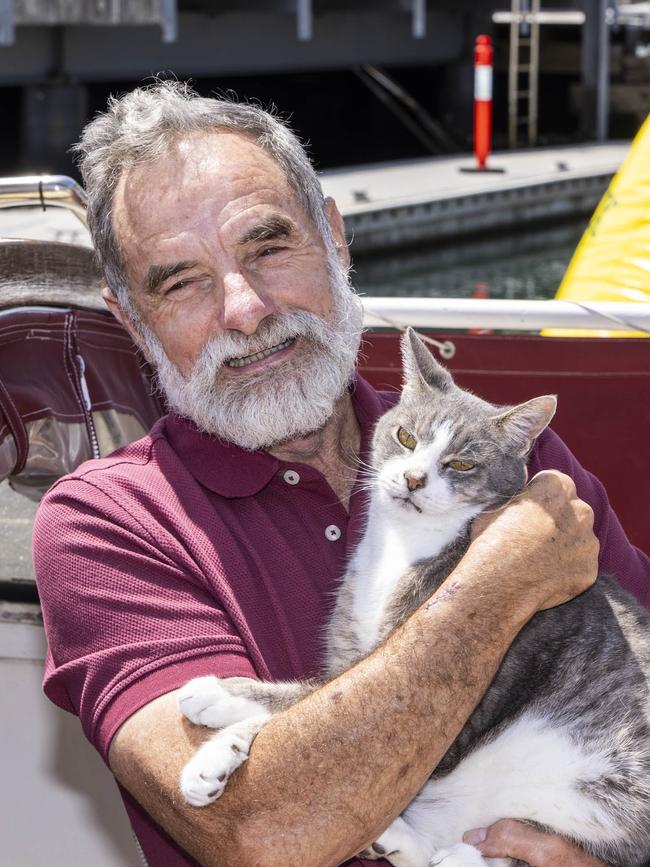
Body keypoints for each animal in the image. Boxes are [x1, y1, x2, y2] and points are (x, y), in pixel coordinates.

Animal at [176, 328, 648, 867]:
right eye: (406, 437)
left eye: (462, 463)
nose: (414, 478)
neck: (403, 543)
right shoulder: (355, 648)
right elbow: (318, 698)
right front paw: (215, 755)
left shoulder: (467, 704)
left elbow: (311, 694)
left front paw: (219, 695)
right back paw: (400, 839)